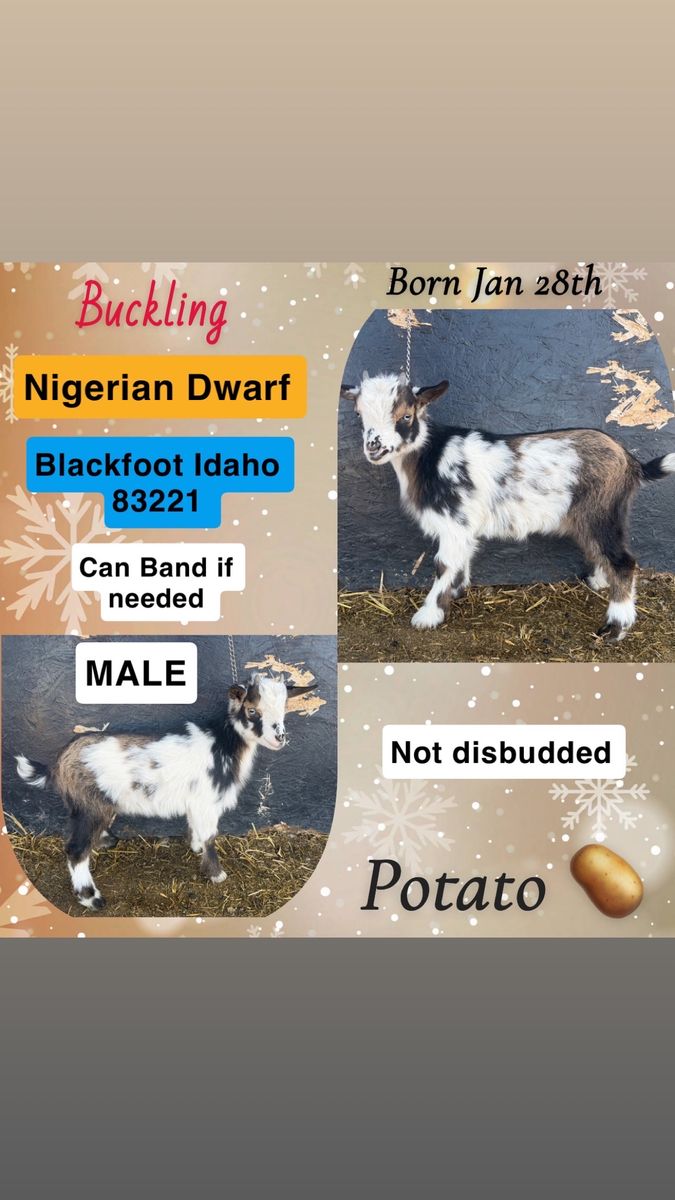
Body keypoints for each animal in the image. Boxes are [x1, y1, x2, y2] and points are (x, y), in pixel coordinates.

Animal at [15, 672, 315, 910]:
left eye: (284, 707)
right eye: (252, 711)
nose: (280, 737)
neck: (223, 744)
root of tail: (59, 762)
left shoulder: (197, 801)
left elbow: (197, 830)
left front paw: (195, 847)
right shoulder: (207, 801)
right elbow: (211, 837)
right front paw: (216, 874)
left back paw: (105, 841)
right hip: (90, 806)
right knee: (76, 850)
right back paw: (92, 898)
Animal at [341, 372, 675, 641]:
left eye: (407, 416)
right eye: (359, 413)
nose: (374, 447)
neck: (429, 457)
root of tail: (630, 460)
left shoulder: (453, 523)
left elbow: (443, 564)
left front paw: (429, 615)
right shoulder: (464, 526)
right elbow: (462, 559)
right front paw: (457, 590)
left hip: (602, 513)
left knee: (624, 562)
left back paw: (616, 627)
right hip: (594, 516)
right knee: (603, 551)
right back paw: (599, 582)